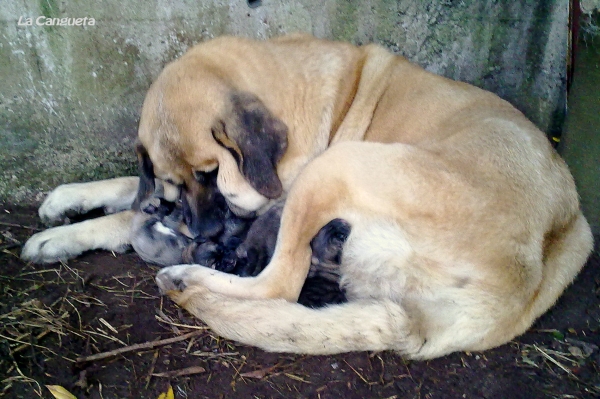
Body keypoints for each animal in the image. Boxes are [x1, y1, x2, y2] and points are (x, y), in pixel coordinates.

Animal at [21, 33, 592, 360]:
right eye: (179, 184)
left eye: (212, 174)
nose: (204, 237)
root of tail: (518, 286)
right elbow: (129, 188)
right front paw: (65, 204)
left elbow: (129, 216)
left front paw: (69, 232)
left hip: (338, 166)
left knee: (278, 283)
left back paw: (187, 276)